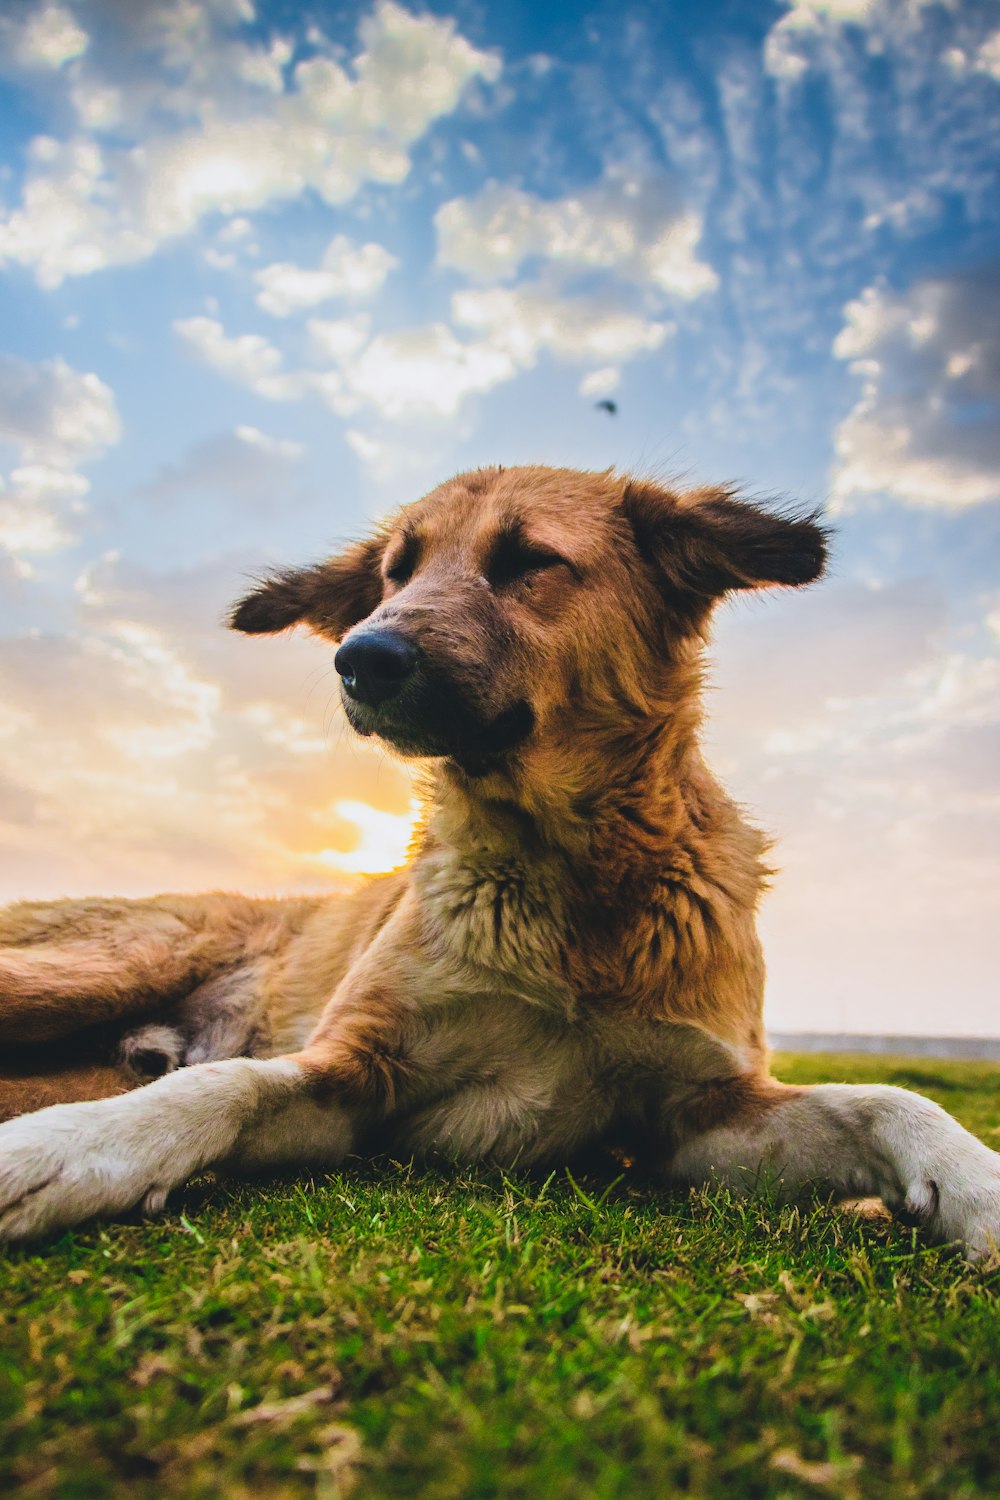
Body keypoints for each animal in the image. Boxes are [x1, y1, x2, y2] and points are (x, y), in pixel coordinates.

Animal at [1, 465, 1000, 1254]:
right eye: (394, 574)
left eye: (530, 563)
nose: (360, 658)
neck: (563, 875)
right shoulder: (352, 1073)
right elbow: (223, 1083)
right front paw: (58, 1152)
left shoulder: (703, 1119)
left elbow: (888, 1099)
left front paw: (977, 1192)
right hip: (98, 968)